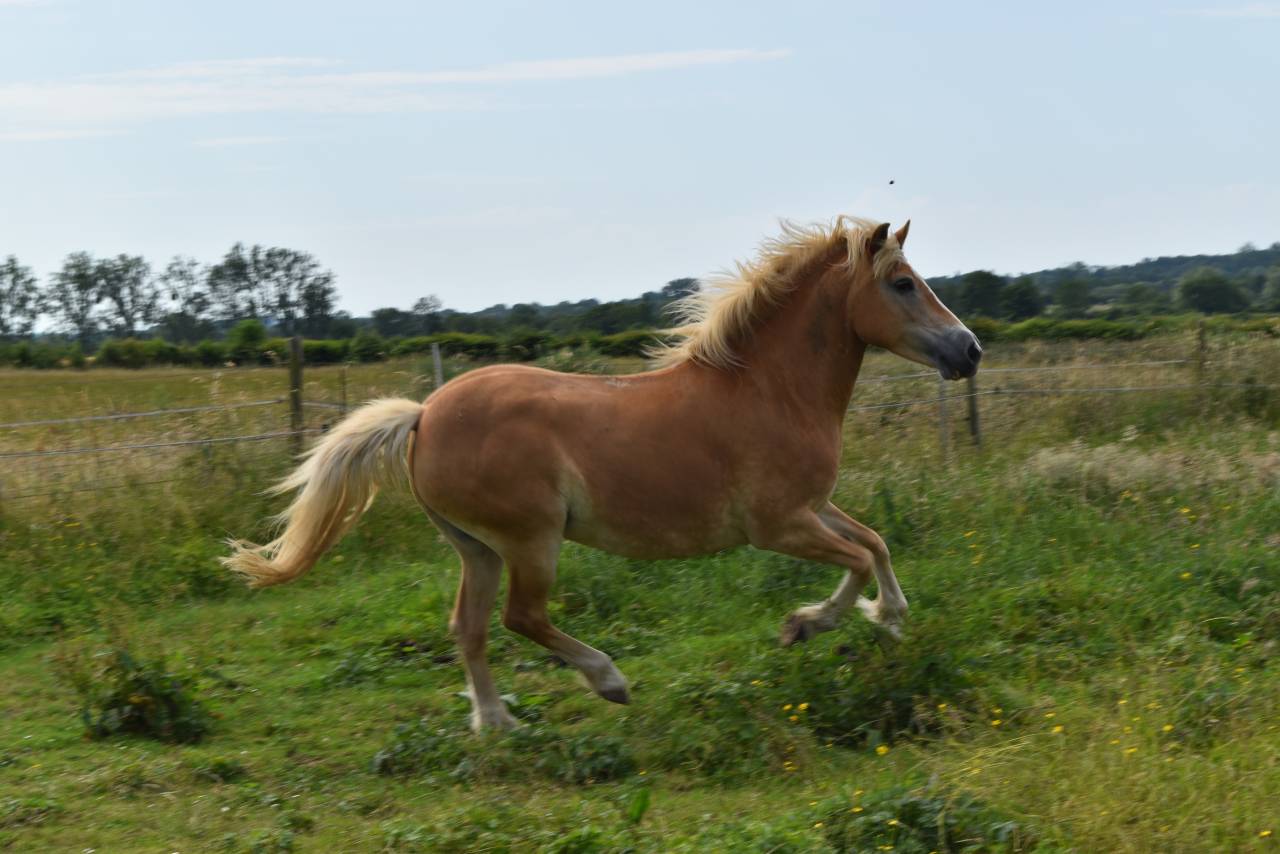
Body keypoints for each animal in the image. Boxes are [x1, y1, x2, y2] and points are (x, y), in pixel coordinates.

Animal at [223, 216, 982, 732]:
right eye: (903, 283)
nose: (969, 350)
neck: (770, 390)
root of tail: (423, 415)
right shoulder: (777, 526)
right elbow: (855, 560)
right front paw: (806, 624)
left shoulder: (811, 507)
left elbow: (876, 543)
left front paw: (889, 616)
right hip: (531, 539)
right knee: (521, 617)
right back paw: (607, 680)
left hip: (477, 547)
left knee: (469, 626)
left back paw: (496, 722)